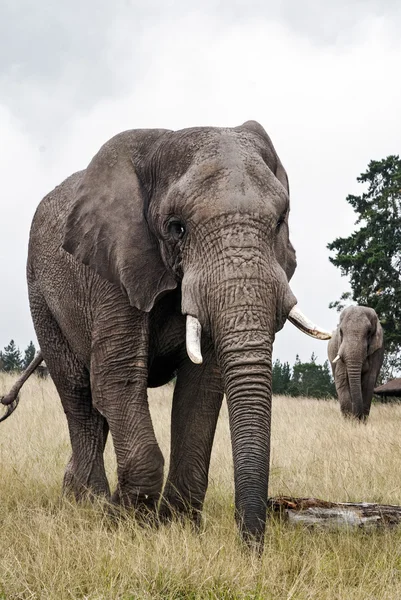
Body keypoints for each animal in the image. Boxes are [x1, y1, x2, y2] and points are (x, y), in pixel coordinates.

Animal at [1, 120, 330, 544]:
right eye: (177, 228)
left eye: (280, 221)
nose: (250, 548)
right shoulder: (114, 264)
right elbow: (118, 377)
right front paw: (124, 523)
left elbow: (202, 389)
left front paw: (177, 526)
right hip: (41, 296)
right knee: (79, 392)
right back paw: (88, 504)